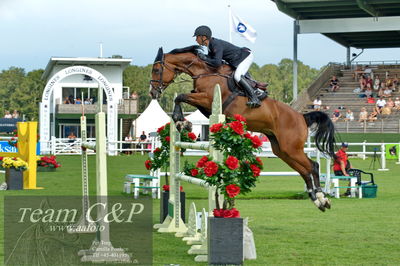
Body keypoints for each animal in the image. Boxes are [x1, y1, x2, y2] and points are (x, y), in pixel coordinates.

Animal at [152, 45, 336, 212]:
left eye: (156, 69)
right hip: (282, 150)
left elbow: (181, 97)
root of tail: (302, 117)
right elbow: (184, 98)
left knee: (313, 166)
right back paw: (317, 200)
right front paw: (183, 122)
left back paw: (322, 198)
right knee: (304, 170)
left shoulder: (207, 99)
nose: (153, 93)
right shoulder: (205, 105)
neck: (205, 72)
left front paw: (180, 121)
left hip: (291, 148)